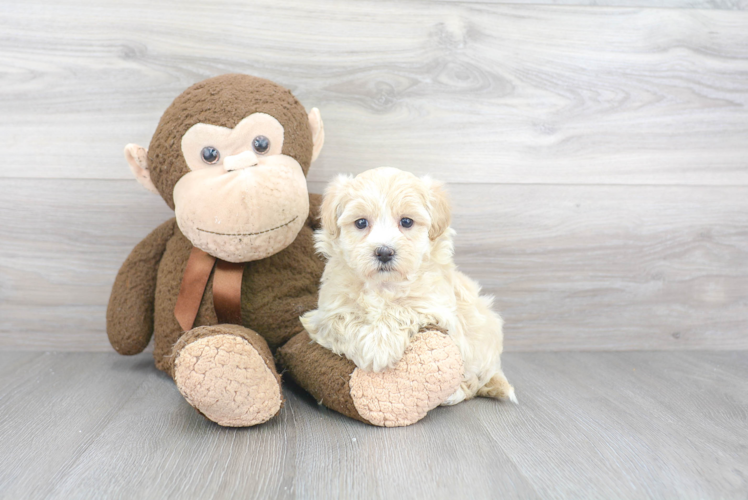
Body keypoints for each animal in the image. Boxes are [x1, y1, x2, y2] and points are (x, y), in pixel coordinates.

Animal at [298, 168, 516, 406]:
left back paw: (454, 393)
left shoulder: (436, 306)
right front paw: (373, 347)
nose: (384, 252)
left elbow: (401, 309)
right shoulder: (325, 314)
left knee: (472, 383)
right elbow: (344, 319)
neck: (383, 285)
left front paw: (380, 346)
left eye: (407, 222)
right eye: (361, 223)